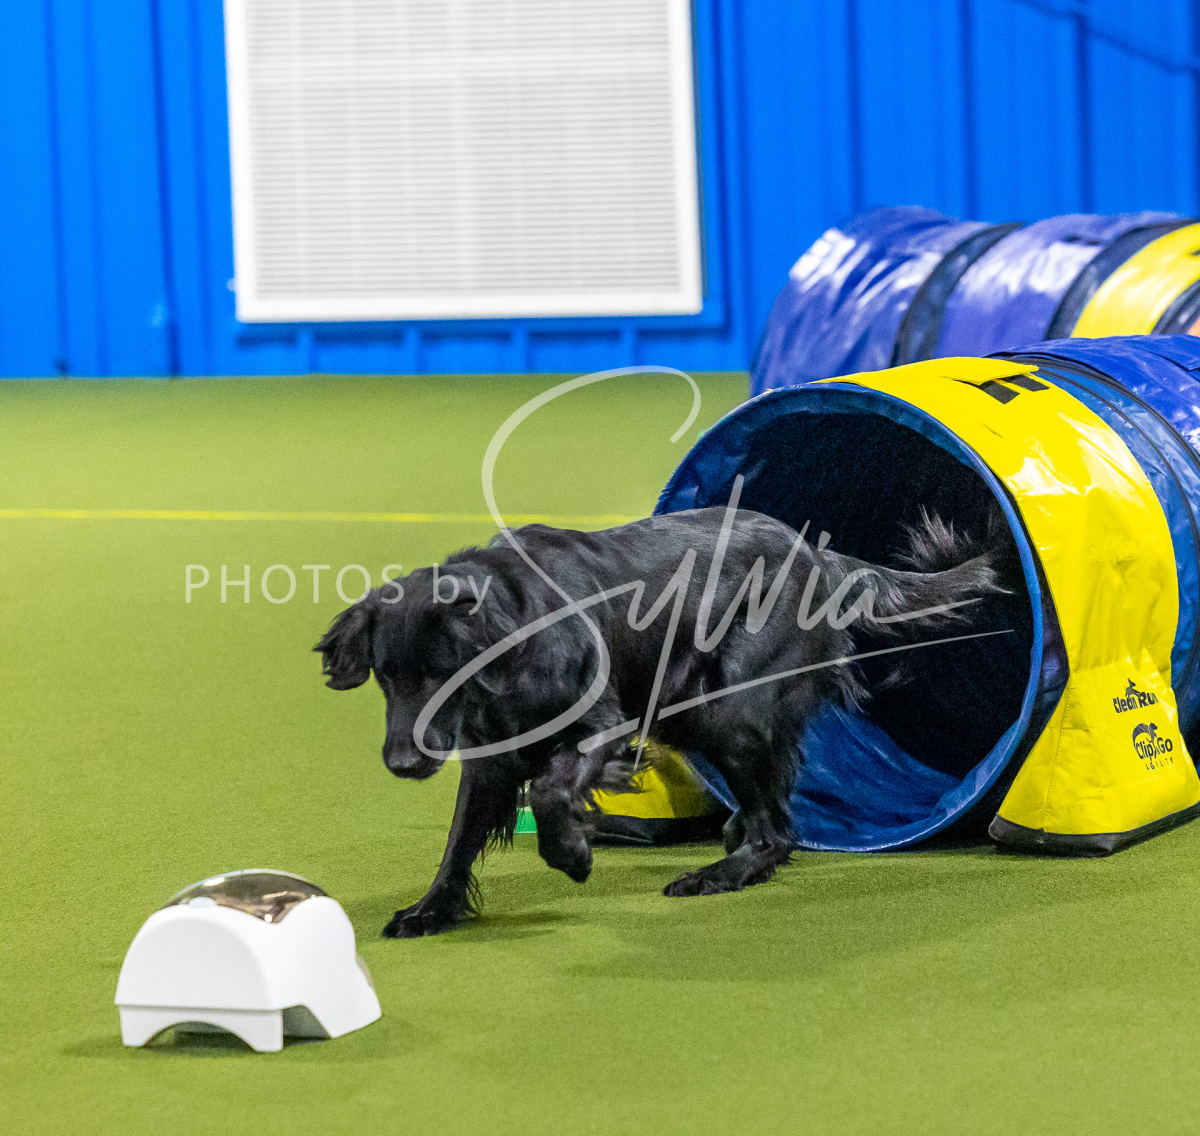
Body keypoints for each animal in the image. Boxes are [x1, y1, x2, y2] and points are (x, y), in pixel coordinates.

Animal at [317, 501, 1003, 937]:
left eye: (445, 673)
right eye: (385, 675)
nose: (402, 763)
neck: (515, 627)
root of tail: (815, 552)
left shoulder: (604, 723)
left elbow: (552, 786)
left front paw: (571, 853)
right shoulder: (490, 757)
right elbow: (459, 840)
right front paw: (429, 910)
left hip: (725, 706)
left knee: (776, 829)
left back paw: (719, 873)